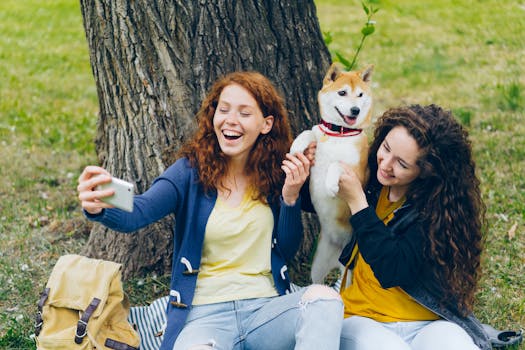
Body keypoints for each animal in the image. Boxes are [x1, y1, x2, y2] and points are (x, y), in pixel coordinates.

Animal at [286, 63, 372, 284]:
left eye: (360, 95)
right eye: (342, 93)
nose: (355, 110)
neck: (339, 133)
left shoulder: (359, 174)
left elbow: (337, 165)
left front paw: (331, 184)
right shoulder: (318, 134)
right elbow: (309, 132)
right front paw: (297, 145)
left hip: (347, 270)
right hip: (318, 264)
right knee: (316, 282)